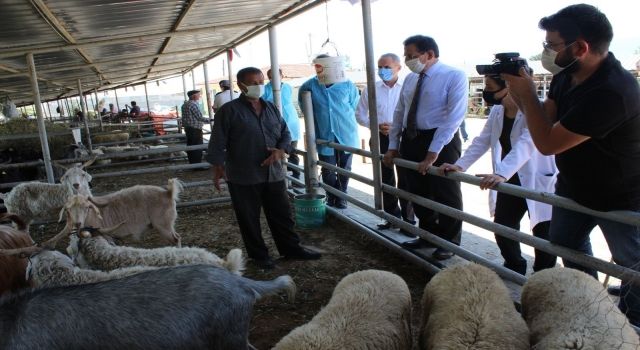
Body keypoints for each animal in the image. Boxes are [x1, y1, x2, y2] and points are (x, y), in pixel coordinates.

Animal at [46, 178, 182, 249]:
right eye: (68, 210)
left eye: (86, 208)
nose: (77, 223)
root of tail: (168, 193)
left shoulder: (105, 235)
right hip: (167, 224)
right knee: (177, 237)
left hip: (163, 224)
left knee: (175, 239)